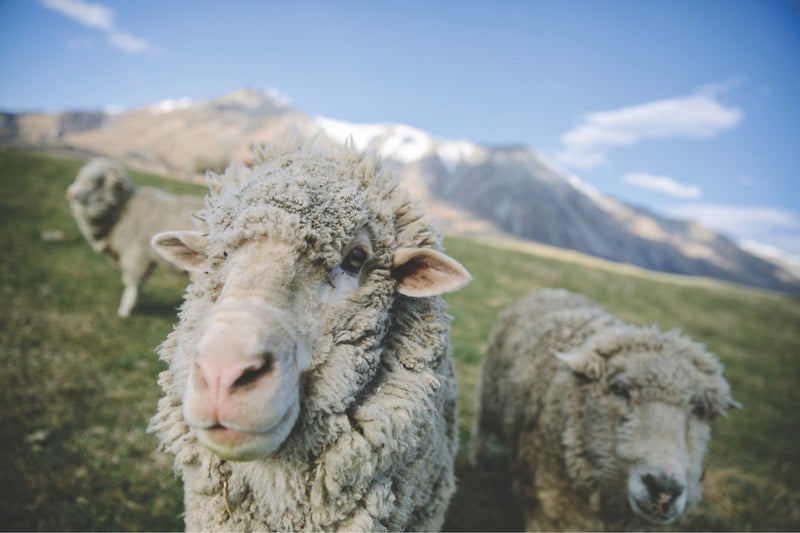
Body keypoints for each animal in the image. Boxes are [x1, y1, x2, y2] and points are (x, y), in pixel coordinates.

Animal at [66, 157, 204, 317]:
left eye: (99, 182)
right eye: (80, 176)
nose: (70, 193)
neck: (122, 210)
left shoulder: (135, 253)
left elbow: (133, 283)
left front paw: (126, 309)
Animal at [473, 288, 740, 531]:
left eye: (699, 408)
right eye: (619, 388)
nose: (664, 490)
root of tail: (555, 290)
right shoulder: (547, 507)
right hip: (489, 393)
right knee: (482, 427)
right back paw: (480, 462)